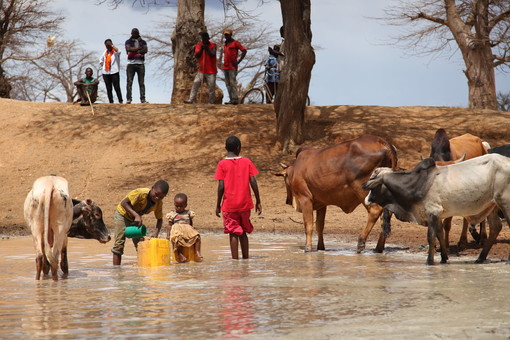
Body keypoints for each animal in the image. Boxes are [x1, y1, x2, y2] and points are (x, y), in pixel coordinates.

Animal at [362, 154, 510, 266]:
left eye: (373, 180)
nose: (366, 199)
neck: (418, 183)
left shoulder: (433, 212)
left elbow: (431, 237)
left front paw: (430, 261)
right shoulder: (437, 215)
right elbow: (440, 234)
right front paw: (444, 258)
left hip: (505, 203)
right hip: (492, 206)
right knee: (496, 227)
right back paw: (480, 258)